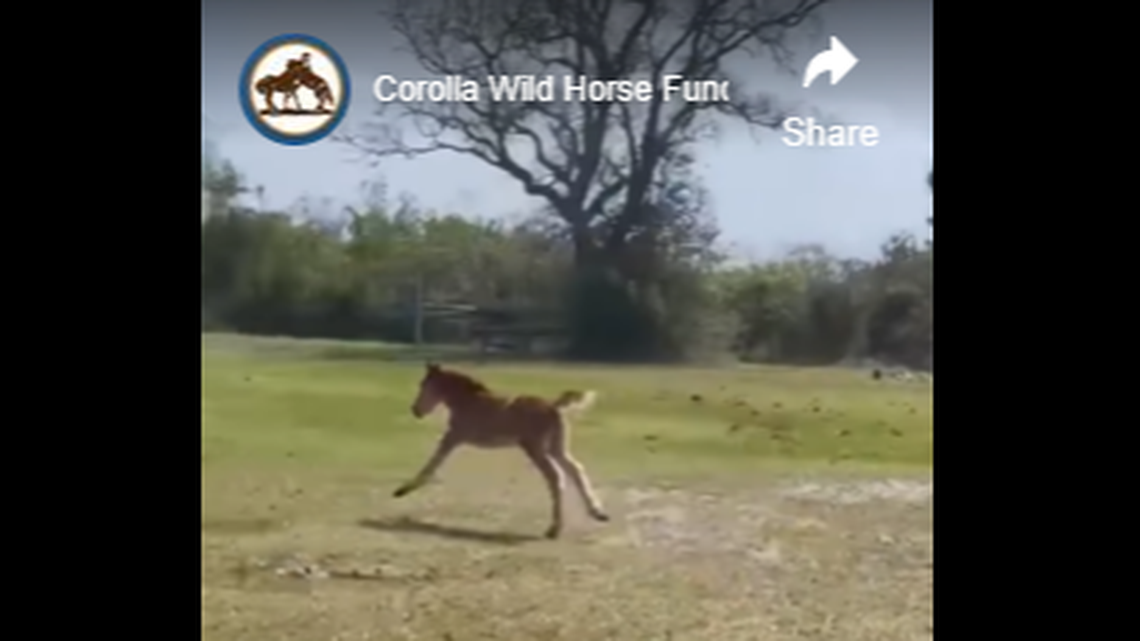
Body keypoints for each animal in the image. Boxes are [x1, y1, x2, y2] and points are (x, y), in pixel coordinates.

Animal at [394, 362, 610, 539]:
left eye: (423, 385)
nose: (415, 410)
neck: (467, 400)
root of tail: (553, 405)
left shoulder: (454, 436)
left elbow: (434, 460)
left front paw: (403, 490)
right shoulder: (455, 437)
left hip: (535, 448)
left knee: (555, 476)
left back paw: (554, 529)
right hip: (556, 448)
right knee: (576, 469)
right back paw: (597, 513)